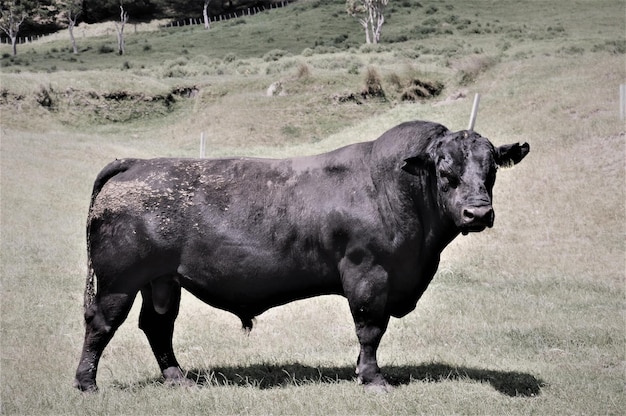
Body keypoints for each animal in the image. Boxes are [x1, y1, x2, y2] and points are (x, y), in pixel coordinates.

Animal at [73, 119, 528, 390]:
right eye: (445, 171)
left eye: (491, 169)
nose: (478, 213)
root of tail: (138, 164)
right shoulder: (369, 274)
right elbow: (370, 329)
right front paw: (373, 379)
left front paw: (359, 372)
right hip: (119, 280)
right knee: (101, 324)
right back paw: (86, 384)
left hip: (162, 281)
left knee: (157, 326)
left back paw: (178, 378)